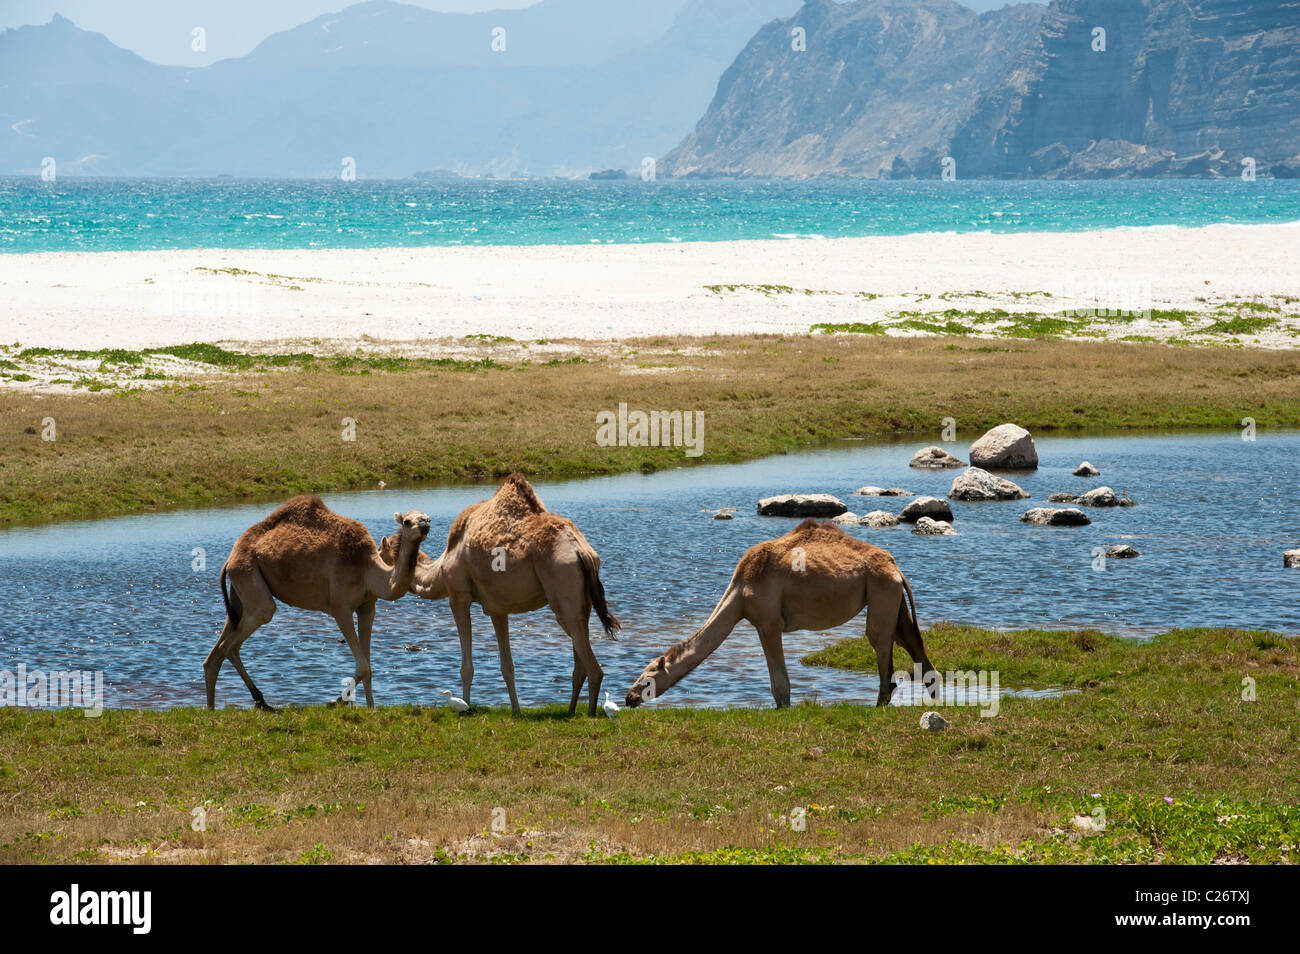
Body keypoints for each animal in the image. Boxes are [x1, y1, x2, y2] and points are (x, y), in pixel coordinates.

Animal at [200, 501, 428, 712]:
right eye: (407, 522)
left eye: (427, 517)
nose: (425, 524)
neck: (367, 569)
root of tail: (229, 560)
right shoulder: (340, 607)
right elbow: (363, 665)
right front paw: (334, 702)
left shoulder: (367, 607)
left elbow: (369, 666)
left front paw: (371, 708)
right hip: (249, 577)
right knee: (234, 641)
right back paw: (247, 704)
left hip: (239, 596)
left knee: (218, 652)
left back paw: (223, 707)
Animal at [384, 475, 618, 717]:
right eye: (408, 521)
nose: (424, 523)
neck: (439, 569)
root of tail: (583, 552)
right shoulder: (497, 608)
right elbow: (507, 666)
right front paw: (516, 710)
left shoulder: (458, 596)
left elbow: (467, 667)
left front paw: (465, 706)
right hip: (581, 601)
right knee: (580, 657)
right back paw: (570, 711)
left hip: (563, 588)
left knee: (594, 668)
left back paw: (589, 713)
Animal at [621, 519, 935, 712]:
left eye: (646, 678)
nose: (630, 697)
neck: (739, 594)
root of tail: (896, 567)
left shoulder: (767, 622)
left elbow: (780, 683)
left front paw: (783, 708)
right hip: (892, 597)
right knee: (909, 639)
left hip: (881, 590)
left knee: (880, 640)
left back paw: (880, 703)